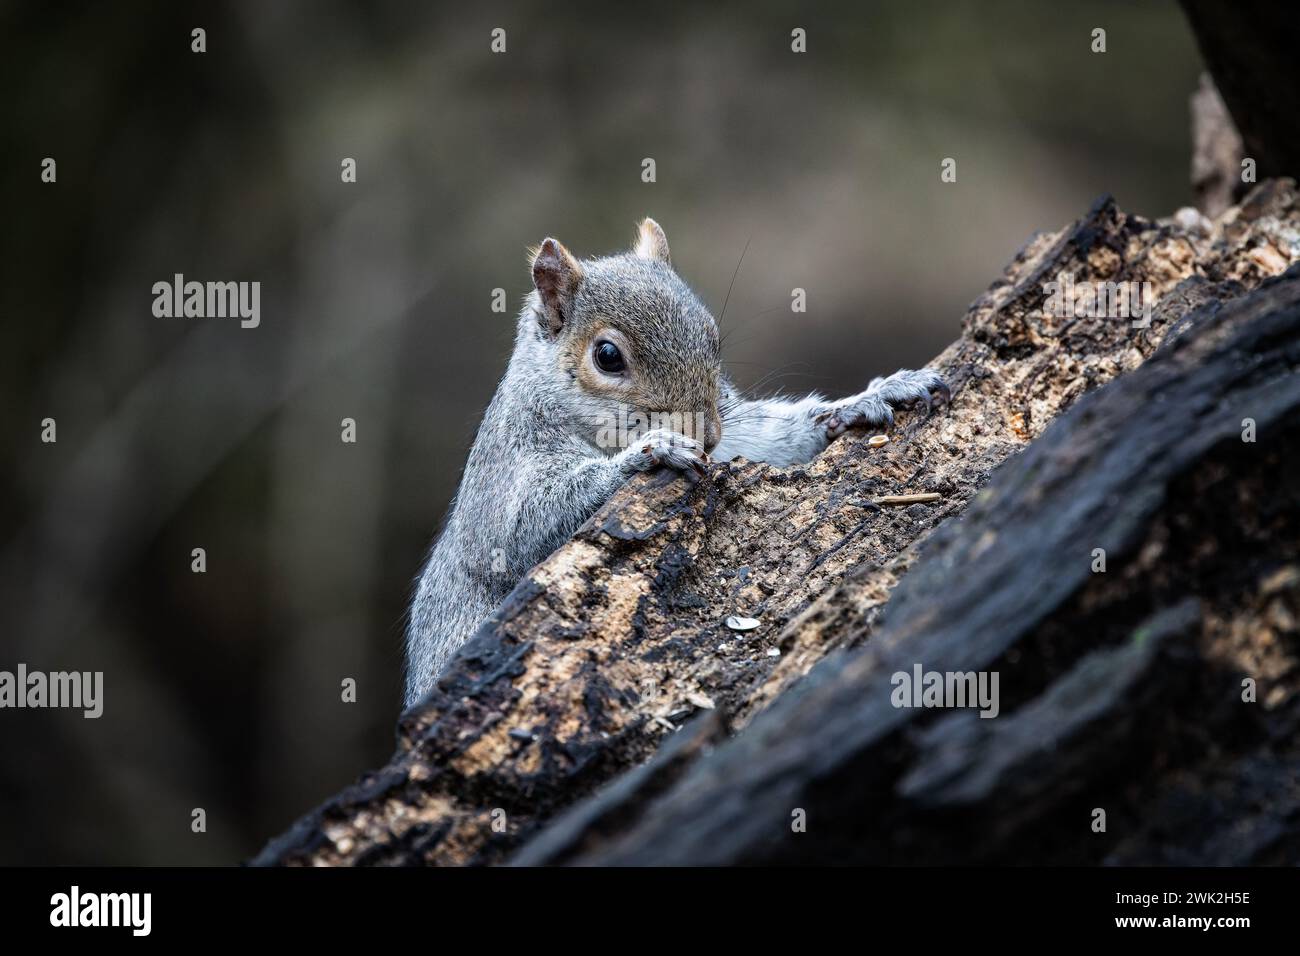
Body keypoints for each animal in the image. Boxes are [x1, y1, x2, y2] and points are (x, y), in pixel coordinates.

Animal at [403, 221, 946, 707]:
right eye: (607, 356)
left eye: (712, 336)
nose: (705, 436)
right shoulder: (508, 470)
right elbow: (524, 529)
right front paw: (652, 450)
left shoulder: (734, 429)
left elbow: (768, 436)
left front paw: (864, 400)